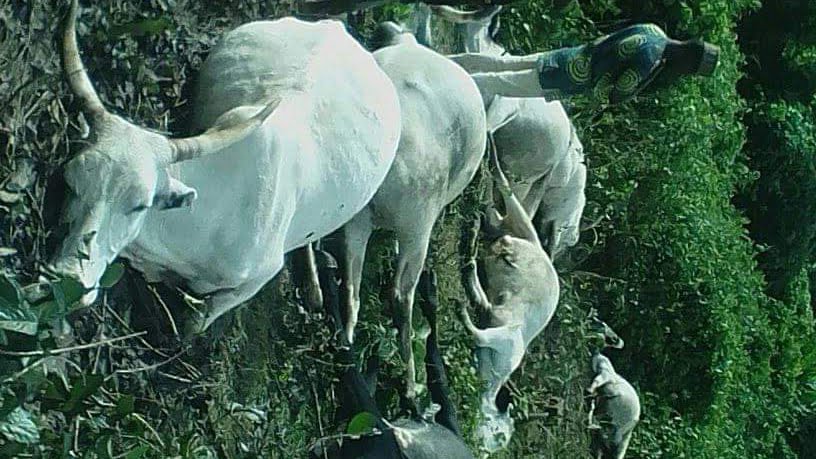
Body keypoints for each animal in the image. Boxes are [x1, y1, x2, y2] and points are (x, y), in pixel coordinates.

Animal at [49, 0, 400, 332]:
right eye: (71, 180)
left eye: (139, 205)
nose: (67, 280)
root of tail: (341, 30)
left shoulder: (257, 277)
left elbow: (196, 323)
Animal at [336, 23, 484, 400]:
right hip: (418, 226)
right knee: (401, 294)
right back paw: (410, 382)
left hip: (359, 219)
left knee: (352, 282)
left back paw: (347, 343)